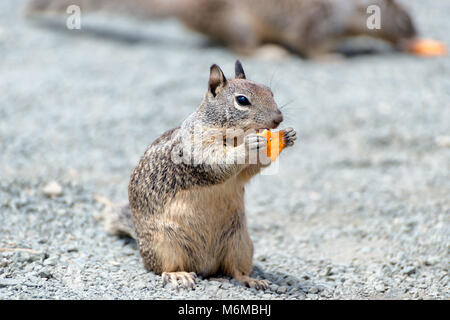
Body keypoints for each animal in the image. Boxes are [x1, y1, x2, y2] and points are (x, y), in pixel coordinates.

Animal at [97, 60, 298, 290]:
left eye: (270, 91)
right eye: (242, 100)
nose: (279, 119)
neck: (231, 135)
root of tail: (205, 267)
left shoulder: (241, 173)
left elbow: (249, 169)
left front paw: (288, 136)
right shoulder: (197, 147)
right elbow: (218, 163)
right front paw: (249, 145)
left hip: (240, 243)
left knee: (234, 270)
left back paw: (251, 279)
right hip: (165, 244)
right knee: (165, 267)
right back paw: (179, 275)